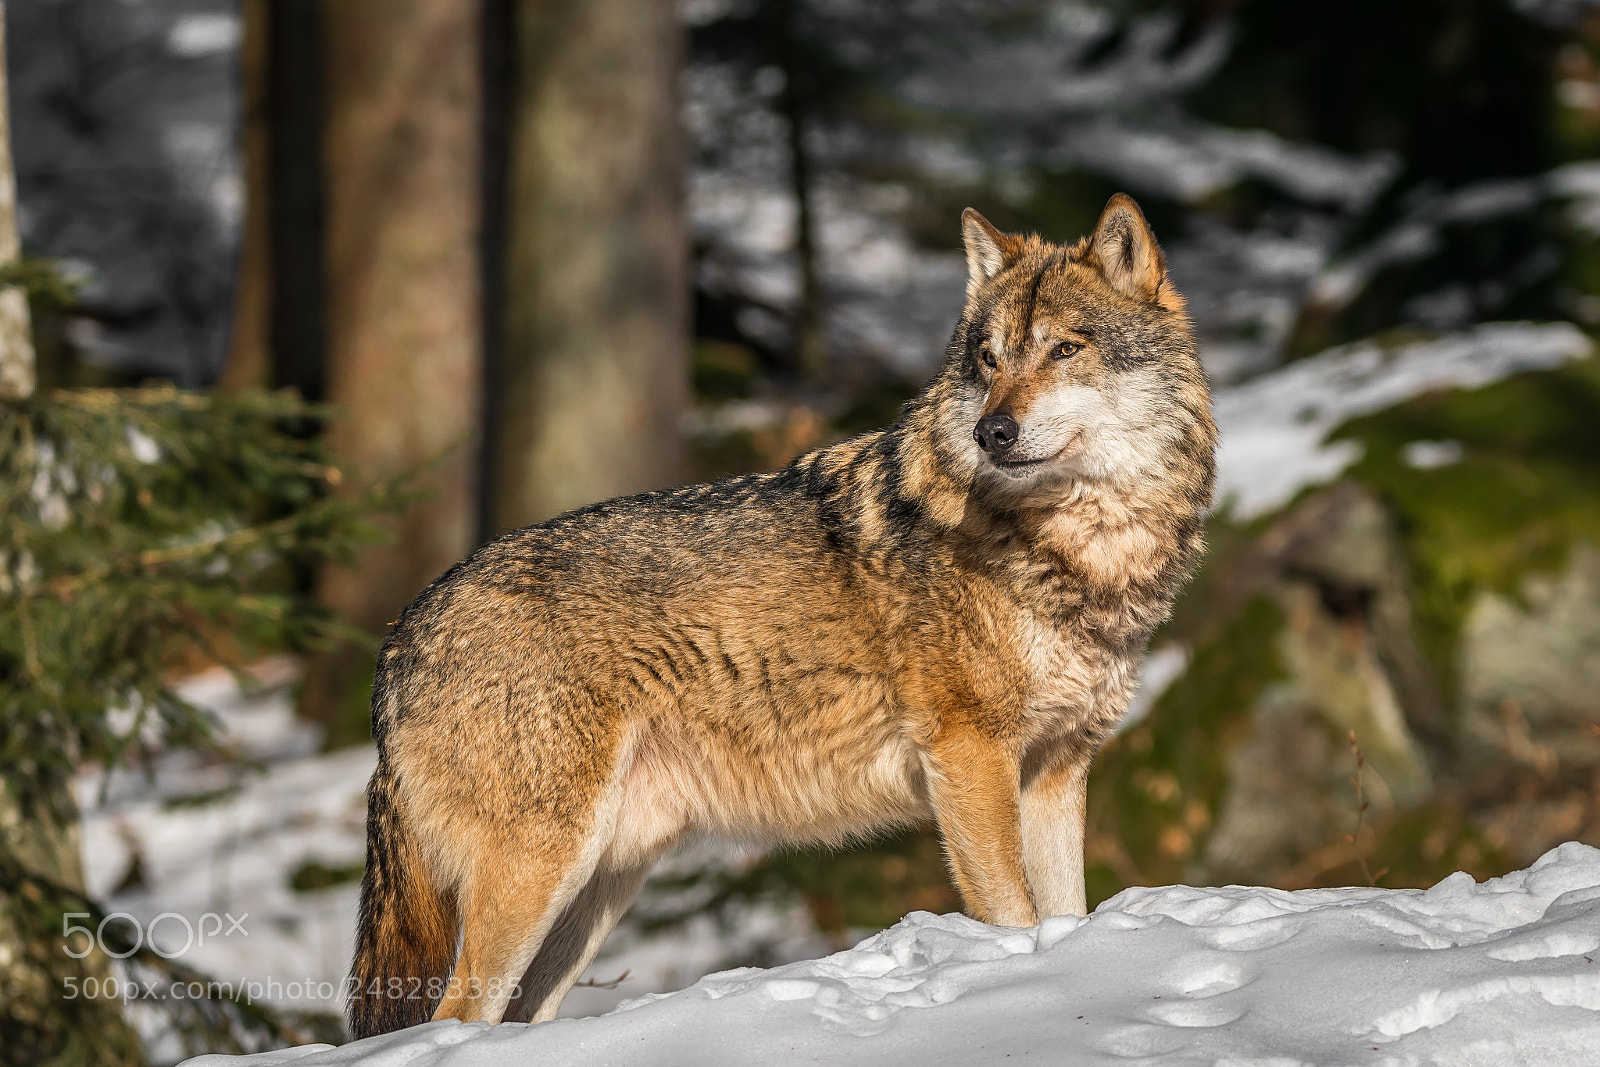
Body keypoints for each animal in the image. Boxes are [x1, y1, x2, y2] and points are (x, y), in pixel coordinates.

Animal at [347, 194, 1216, 1038]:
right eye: (989, 360)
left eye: (1066, 349)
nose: (991, 430)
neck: (1079, 551)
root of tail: (401, 633)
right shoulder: (970, 758)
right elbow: (1014, 916)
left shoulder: (1058, 768)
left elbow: (1064, 915)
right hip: (541, 868)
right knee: (454, 1015)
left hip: (598, 883)